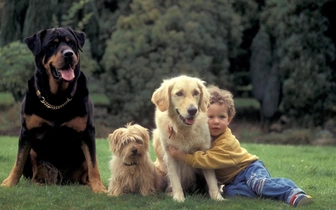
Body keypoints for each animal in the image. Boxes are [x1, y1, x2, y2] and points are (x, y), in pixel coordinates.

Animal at [0, 27, 105, 193]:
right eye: (52, 45)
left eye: (71, 43)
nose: (69, 54)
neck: (56, 99)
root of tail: (61, 180)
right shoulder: (26, 132)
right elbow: (18, 162)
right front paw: (9, 183)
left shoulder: (88, 132)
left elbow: (93, 165)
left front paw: (99, 188)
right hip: (34, 155)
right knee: (34, 174)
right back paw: (39, 183)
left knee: (85, 171)